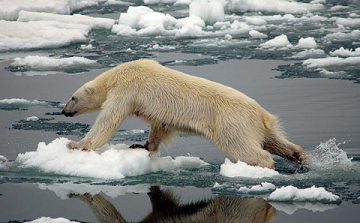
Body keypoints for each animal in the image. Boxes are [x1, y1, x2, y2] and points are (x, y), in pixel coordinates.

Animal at [62, 58, 306, 167]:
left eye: (73, 97)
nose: (64, 111)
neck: (117, 74)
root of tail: (261, 113)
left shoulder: (127, 88)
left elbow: (108, 119)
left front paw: (76, 144)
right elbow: (159, 125)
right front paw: (141, 145)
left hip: (232, 121)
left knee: (242, 146)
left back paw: (261, 164)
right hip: (257, 125)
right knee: (275, 141)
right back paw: (299, 156)